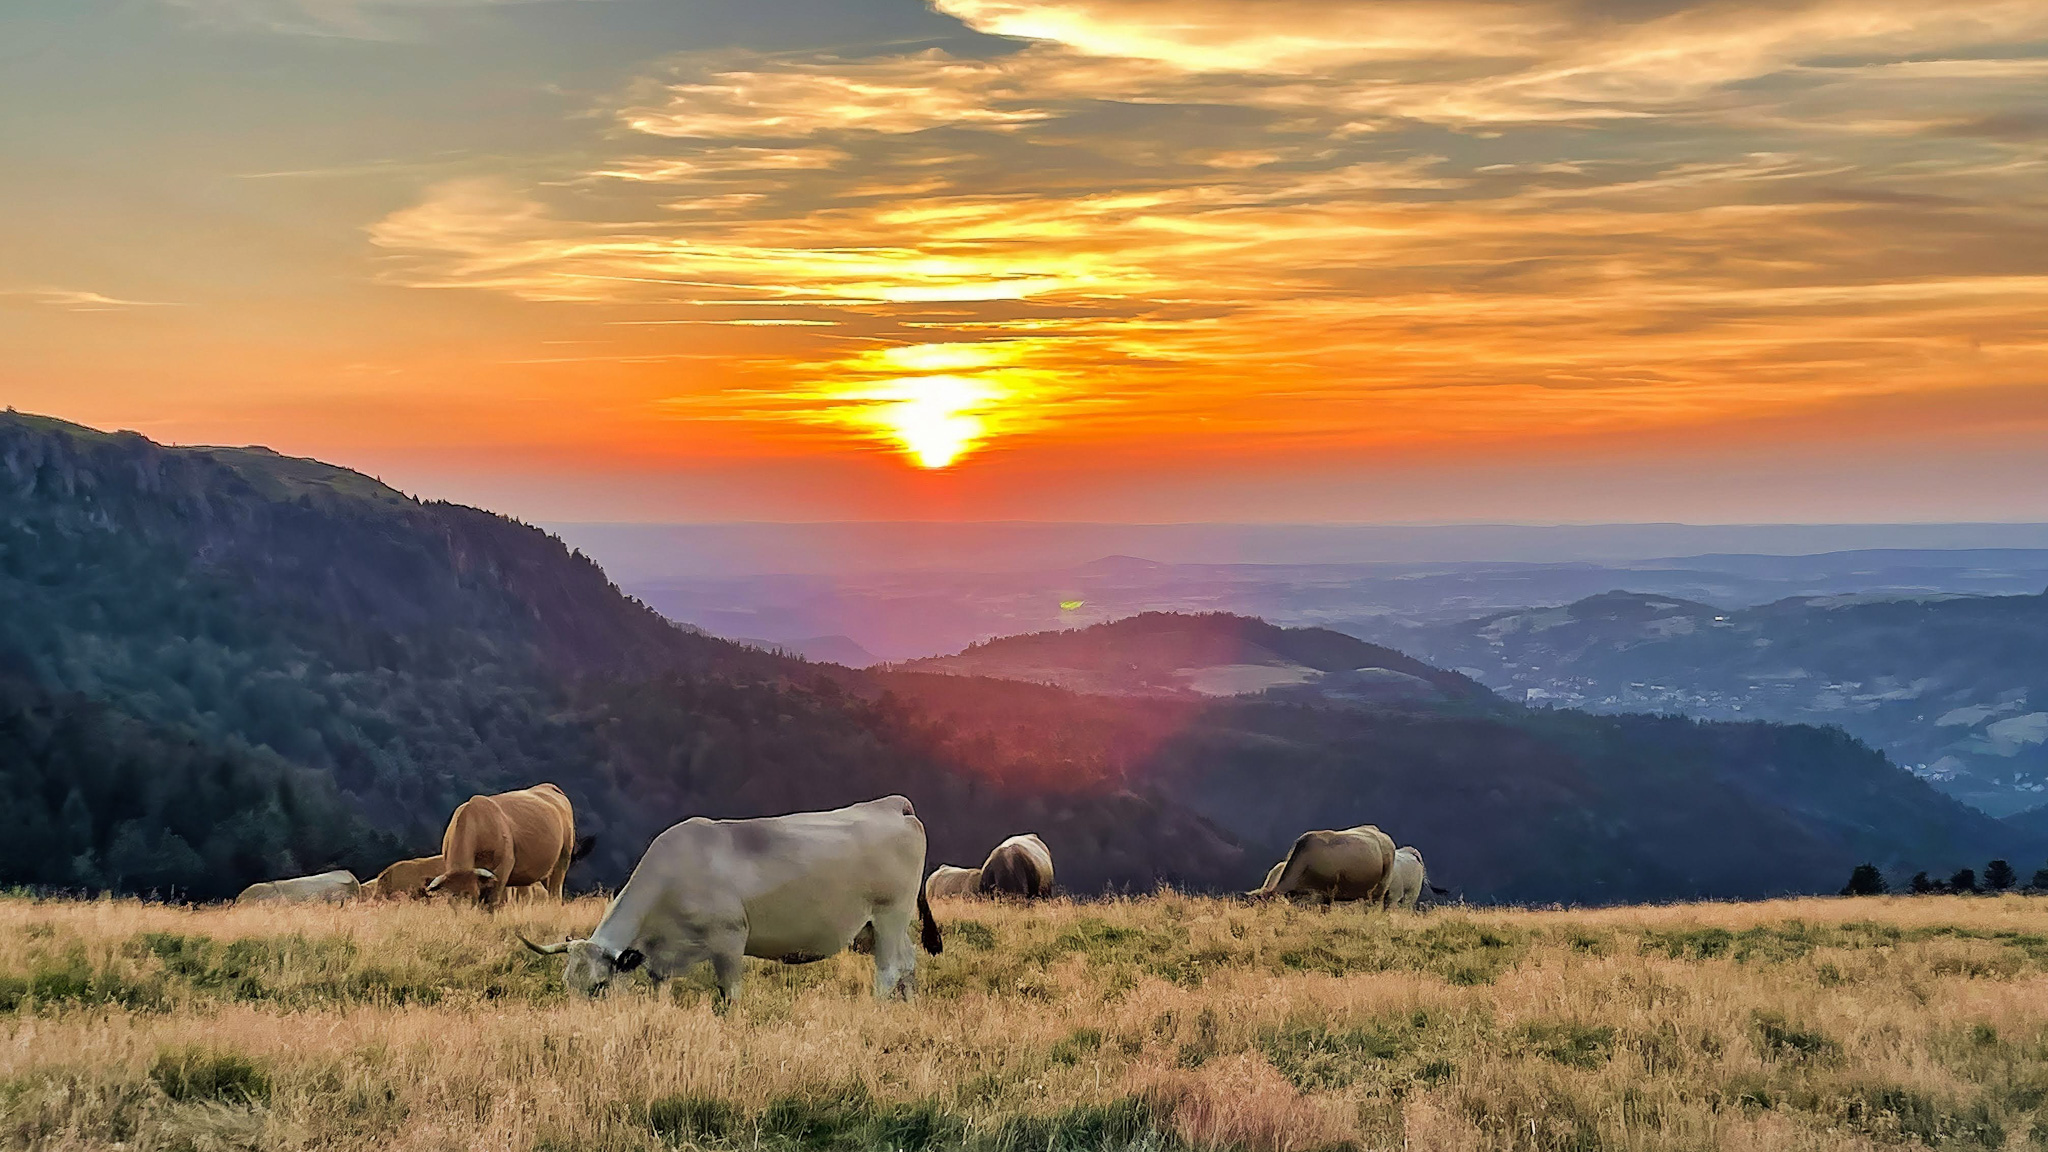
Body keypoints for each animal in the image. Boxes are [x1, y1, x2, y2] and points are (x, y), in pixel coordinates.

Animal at [419, 778, 573, 906]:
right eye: (451, 899)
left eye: (472, 895)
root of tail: (548, 787)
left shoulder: (503, 868)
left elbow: (492, 902)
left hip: (563, 858)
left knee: (555, 892)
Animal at [524, 795, 946, 1000]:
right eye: (568, 984)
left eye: (597, 986)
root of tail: (891, 805)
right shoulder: (661, 958)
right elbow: (660, 990)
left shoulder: (729, 940)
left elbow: (730, 996)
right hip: (880, 926)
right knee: (908, 965)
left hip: (890, 915)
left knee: (889, 971)